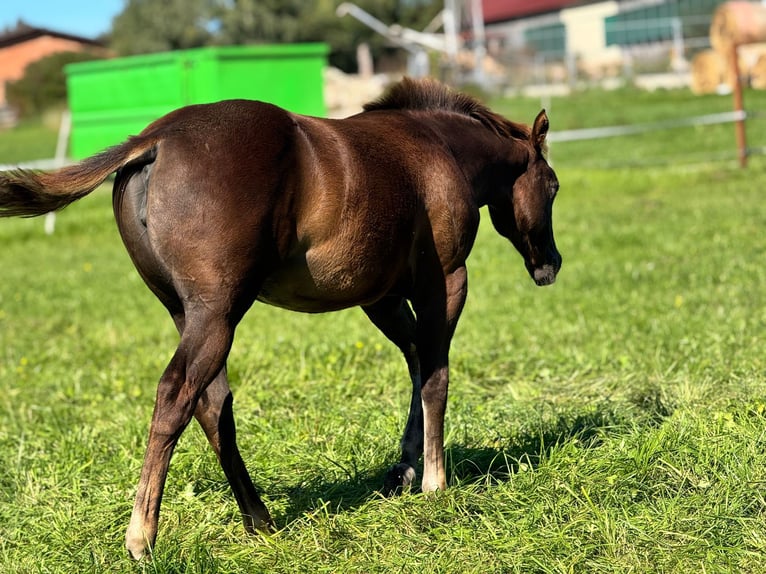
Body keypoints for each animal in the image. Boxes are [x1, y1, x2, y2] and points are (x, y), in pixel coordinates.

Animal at [0, 77, 561, 559]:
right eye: (552, 186)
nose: (549, 265)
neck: (437, 149)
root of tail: (155, 139)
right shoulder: (444, 281)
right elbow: (437, 375)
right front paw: (434, 483)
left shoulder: (379, 296)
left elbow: (416, 363)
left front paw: (403, 470)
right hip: (218, 312)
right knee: (177, 395)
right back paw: (142, 537)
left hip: (186, 312)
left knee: (213, 404)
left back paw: (259, 520)